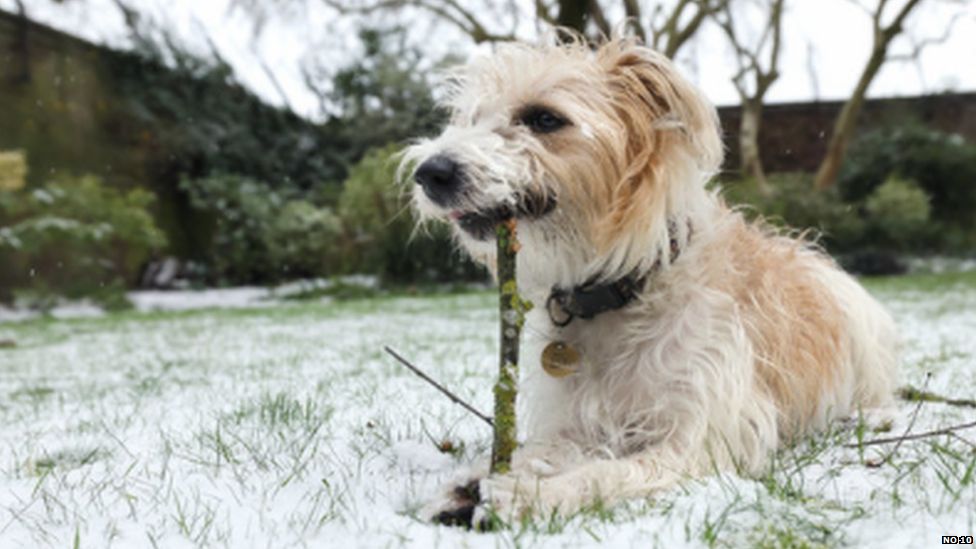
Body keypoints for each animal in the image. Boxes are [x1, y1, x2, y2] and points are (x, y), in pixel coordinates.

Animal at [400, 35, 896, 524]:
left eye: (544, 118)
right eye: (470, 118)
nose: (430, 173)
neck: (622, 290)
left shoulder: (697, 442)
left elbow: (605, 474)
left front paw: (531, 496)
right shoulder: (575, 422)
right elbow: (542, 452)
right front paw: (476, 483)